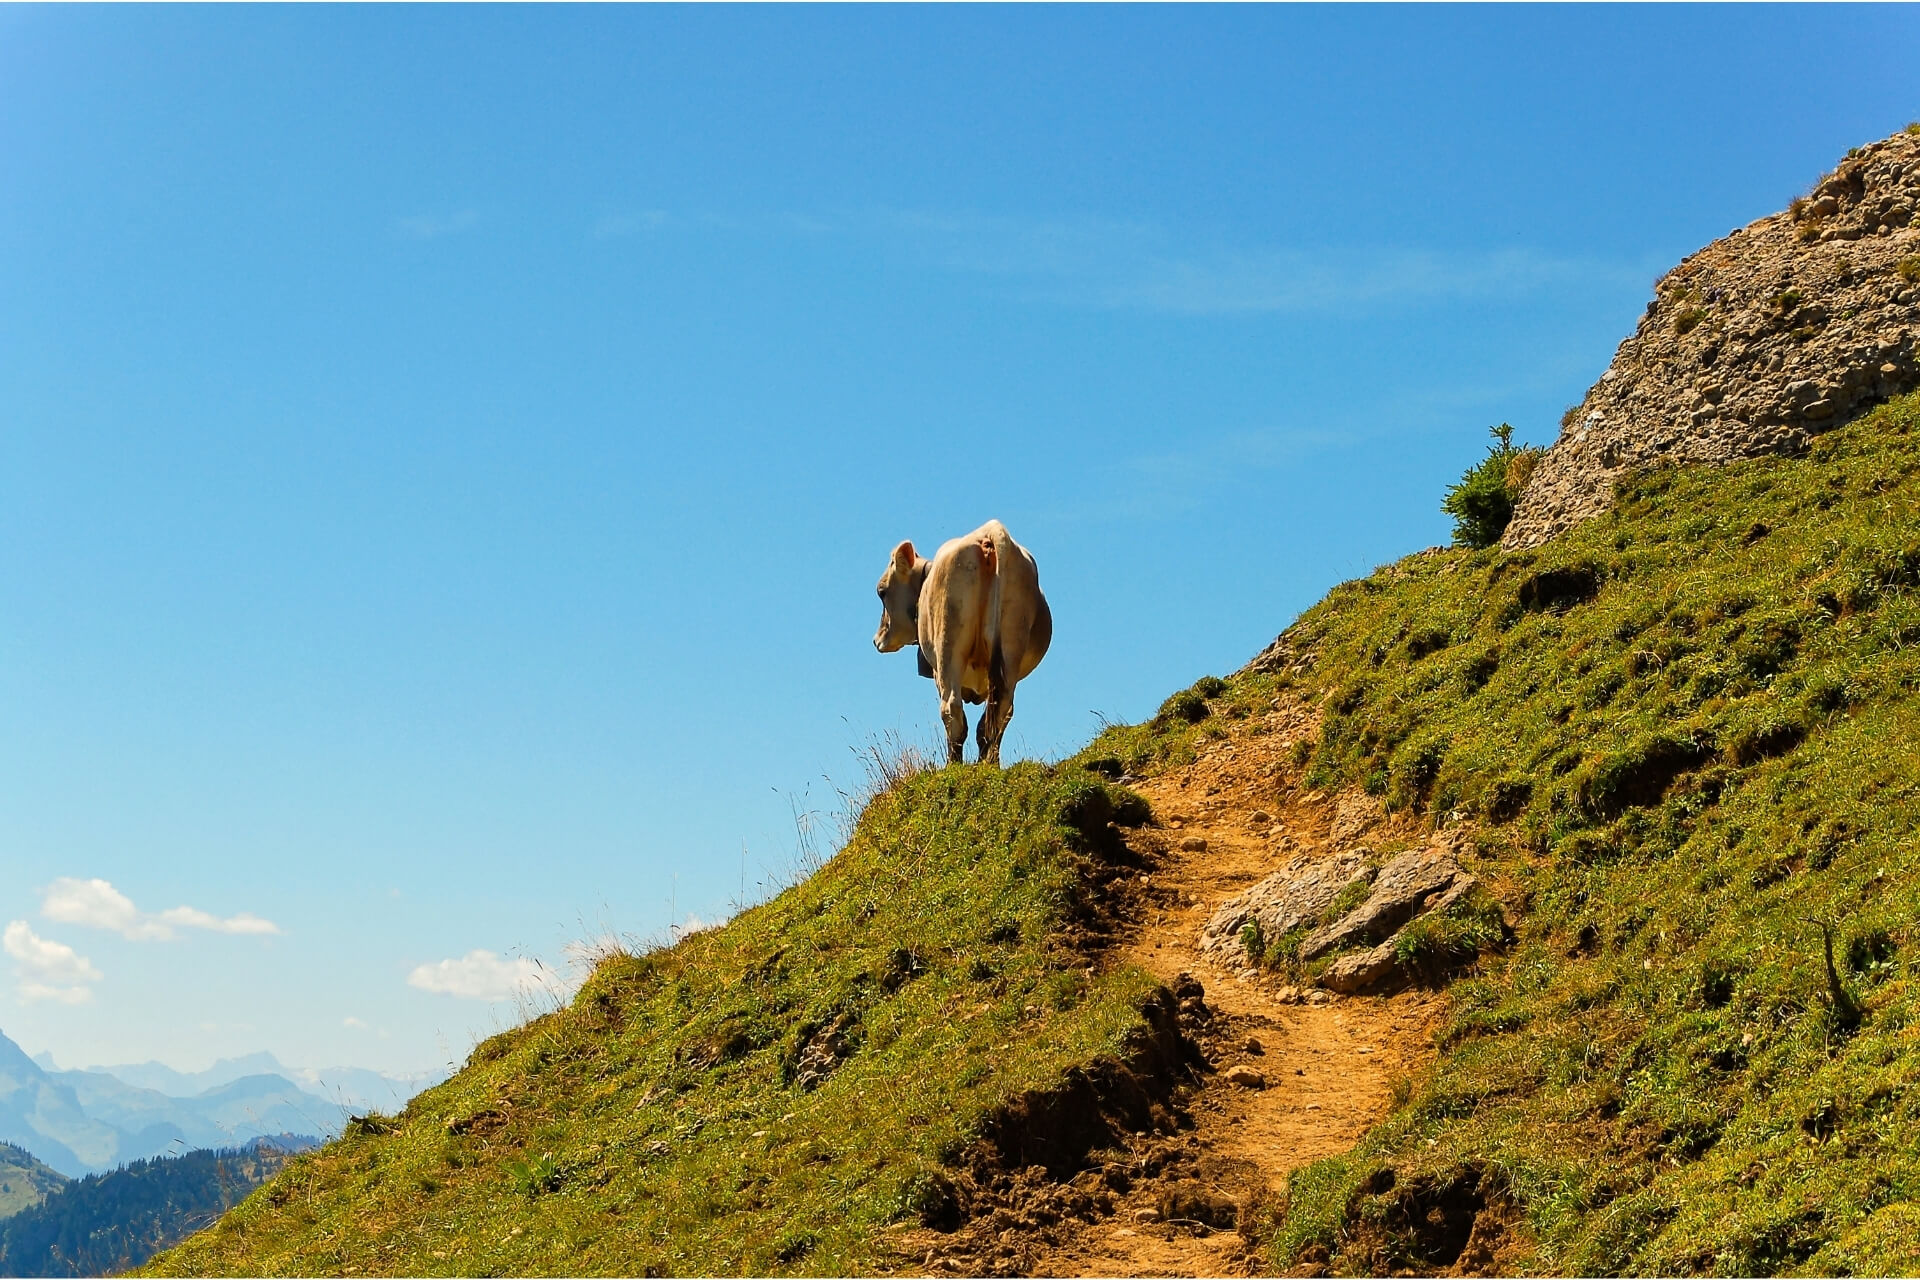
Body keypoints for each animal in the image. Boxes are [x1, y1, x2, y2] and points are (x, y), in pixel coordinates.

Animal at [871, 518, 1052, 767]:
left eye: (882, 592)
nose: (877, 639)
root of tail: (990, 532)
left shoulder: (937, 672)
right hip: (1010, 646)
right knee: (1000, 709)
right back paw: (989, 764)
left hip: (948, 649)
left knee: (952, 708)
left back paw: (953, 765)